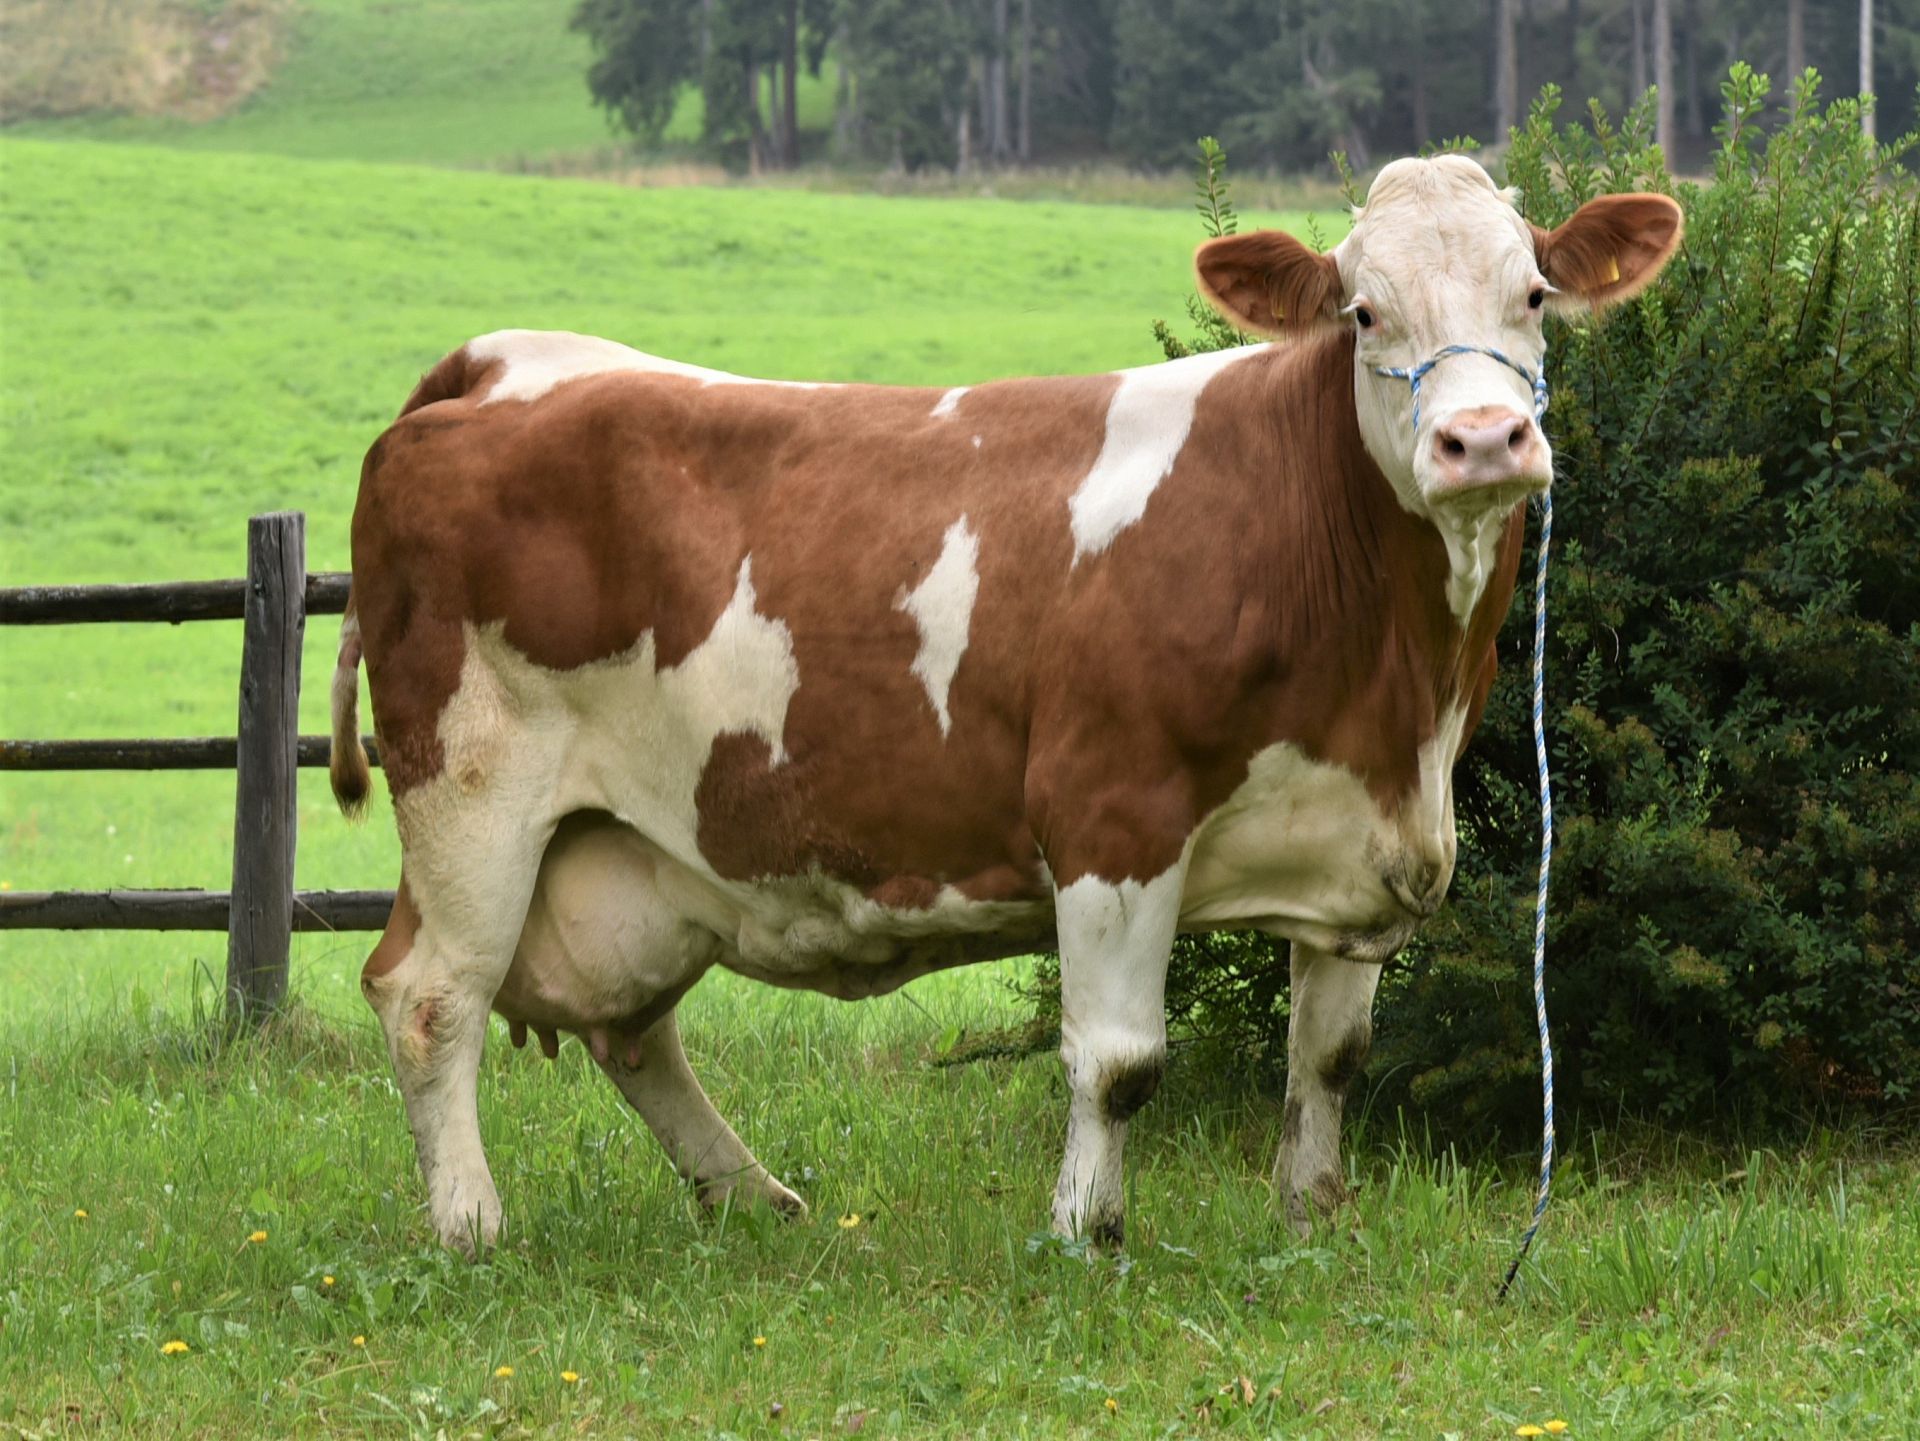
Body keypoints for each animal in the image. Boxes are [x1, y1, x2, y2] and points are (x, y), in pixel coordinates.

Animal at [330, 155, 1681, 1251]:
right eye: (1362, 311)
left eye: (1534, 296)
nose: (1483, 440)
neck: (1392, 686)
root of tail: (493, 367)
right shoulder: (1110, 809)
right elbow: (1119, 1062)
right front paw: (1088, 1233)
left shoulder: (1362, 837)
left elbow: (1331, 1057)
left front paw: (1313, 1220)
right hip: (472, 786)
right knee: (430, 998)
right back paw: (471, 1229)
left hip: (631, 845)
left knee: (630, 1026)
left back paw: (751, 1198)